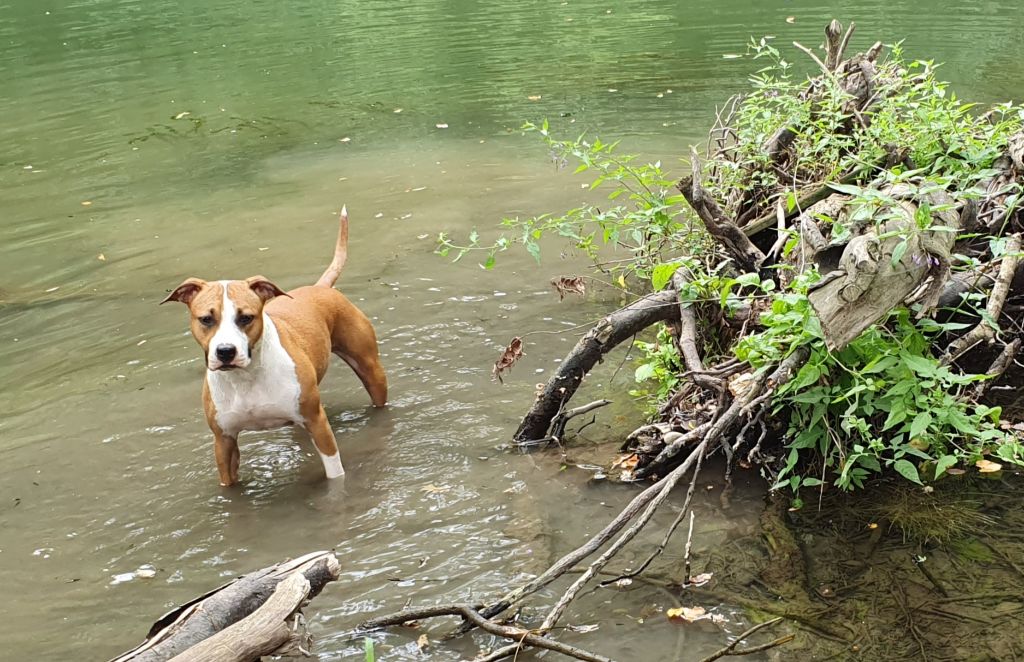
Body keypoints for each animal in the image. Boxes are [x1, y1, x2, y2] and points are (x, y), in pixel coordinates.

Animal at [161, 207, 385, 487]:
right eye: (206, 319)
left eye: (246, 317)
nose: (225, 352)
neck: (246, 378)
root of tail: (320, 287)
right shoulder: (224, 441)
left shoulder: (317, 422)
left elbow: (335, 473)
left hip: (370, 370)